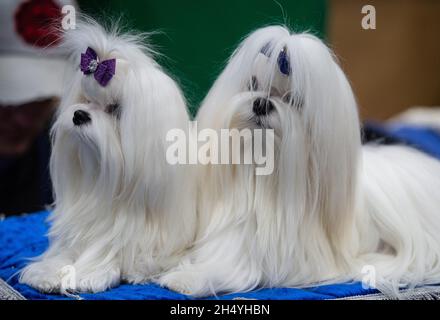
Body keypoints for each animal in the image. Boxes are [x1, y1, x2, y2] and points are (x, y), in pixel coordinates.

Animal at [160, 25, 440, 298]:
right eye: (252, 84)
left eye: (293, 99)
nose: (261, 103)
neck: (261, 181)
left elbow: (231, 270)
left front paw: (187, 279)